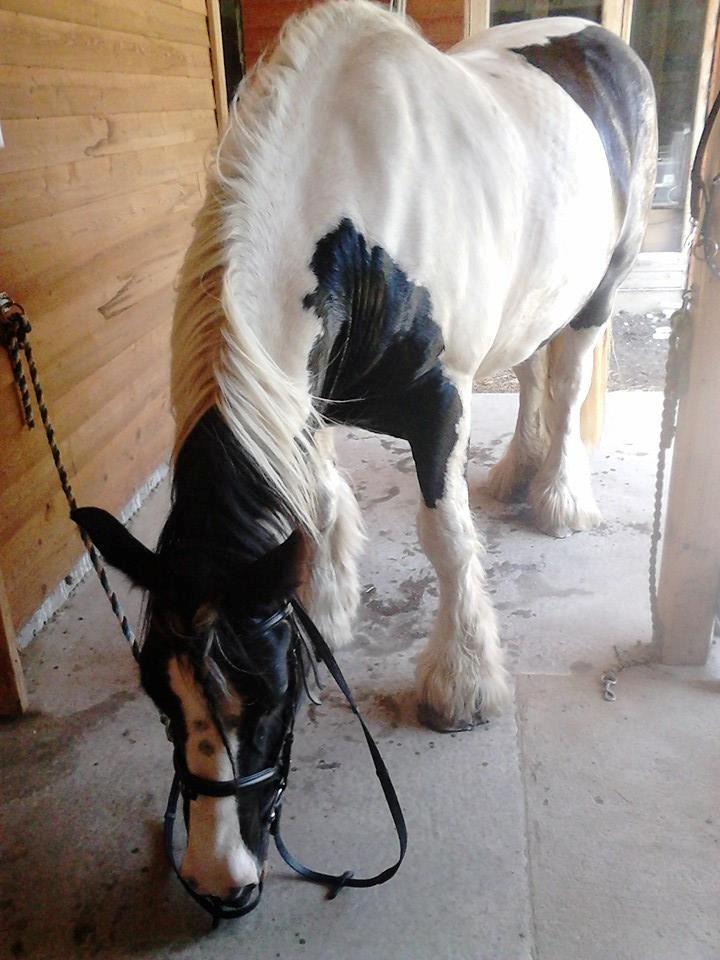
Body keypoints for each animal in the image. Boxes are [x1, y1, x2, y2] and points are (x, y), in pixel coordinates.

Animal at [71, 0, 652, 912]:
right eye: (159, 699)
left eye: (268, 697)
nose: (218, 882)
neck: (366, 221)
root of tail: (595, 37)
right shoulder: (303, 396)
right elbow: (317, 507)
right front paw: (327, 605)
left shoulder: (440, 407)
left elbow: (444, 540)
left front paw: (461, 683)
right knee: (531, 373)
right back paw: (515, 477)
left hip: (598, 294)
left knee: (563, 387)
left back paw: (557, 497)